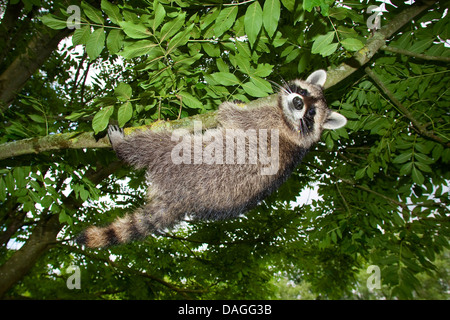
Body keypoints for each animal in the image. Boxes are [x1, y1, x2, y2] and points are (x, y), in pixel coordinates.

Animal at [77, 70, 346, 248]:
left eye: (311, 113)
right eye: (303, 92)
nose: (298, 101)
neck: (291, 127)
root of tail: (179, 200)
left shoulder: (265, 120)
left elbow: (235, 117)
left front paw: (229, 106)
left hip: (179, 159)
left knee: (156, 145)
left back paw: (123, 146)